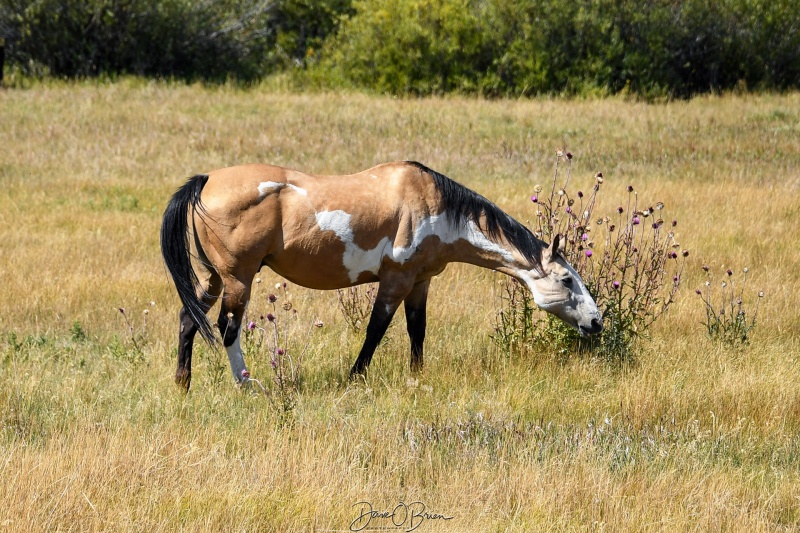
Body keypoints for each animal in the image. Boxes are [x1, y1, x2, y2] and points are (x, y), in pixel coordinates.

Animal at [161, 160, 600, 388]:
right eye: (567, 280)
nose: (596, 322)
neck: (437, 209)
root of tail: (206, 181)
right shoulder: (396, 280)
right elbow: (376, 329)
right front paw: (356, 377)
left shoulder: (420, 281)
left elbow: (417, 329)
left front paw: (416, 377)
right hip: (239, 279)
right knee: (227, 328)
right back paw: (247, 385)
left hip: (215, 278)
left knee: (188, 318)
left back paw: (183, 383)